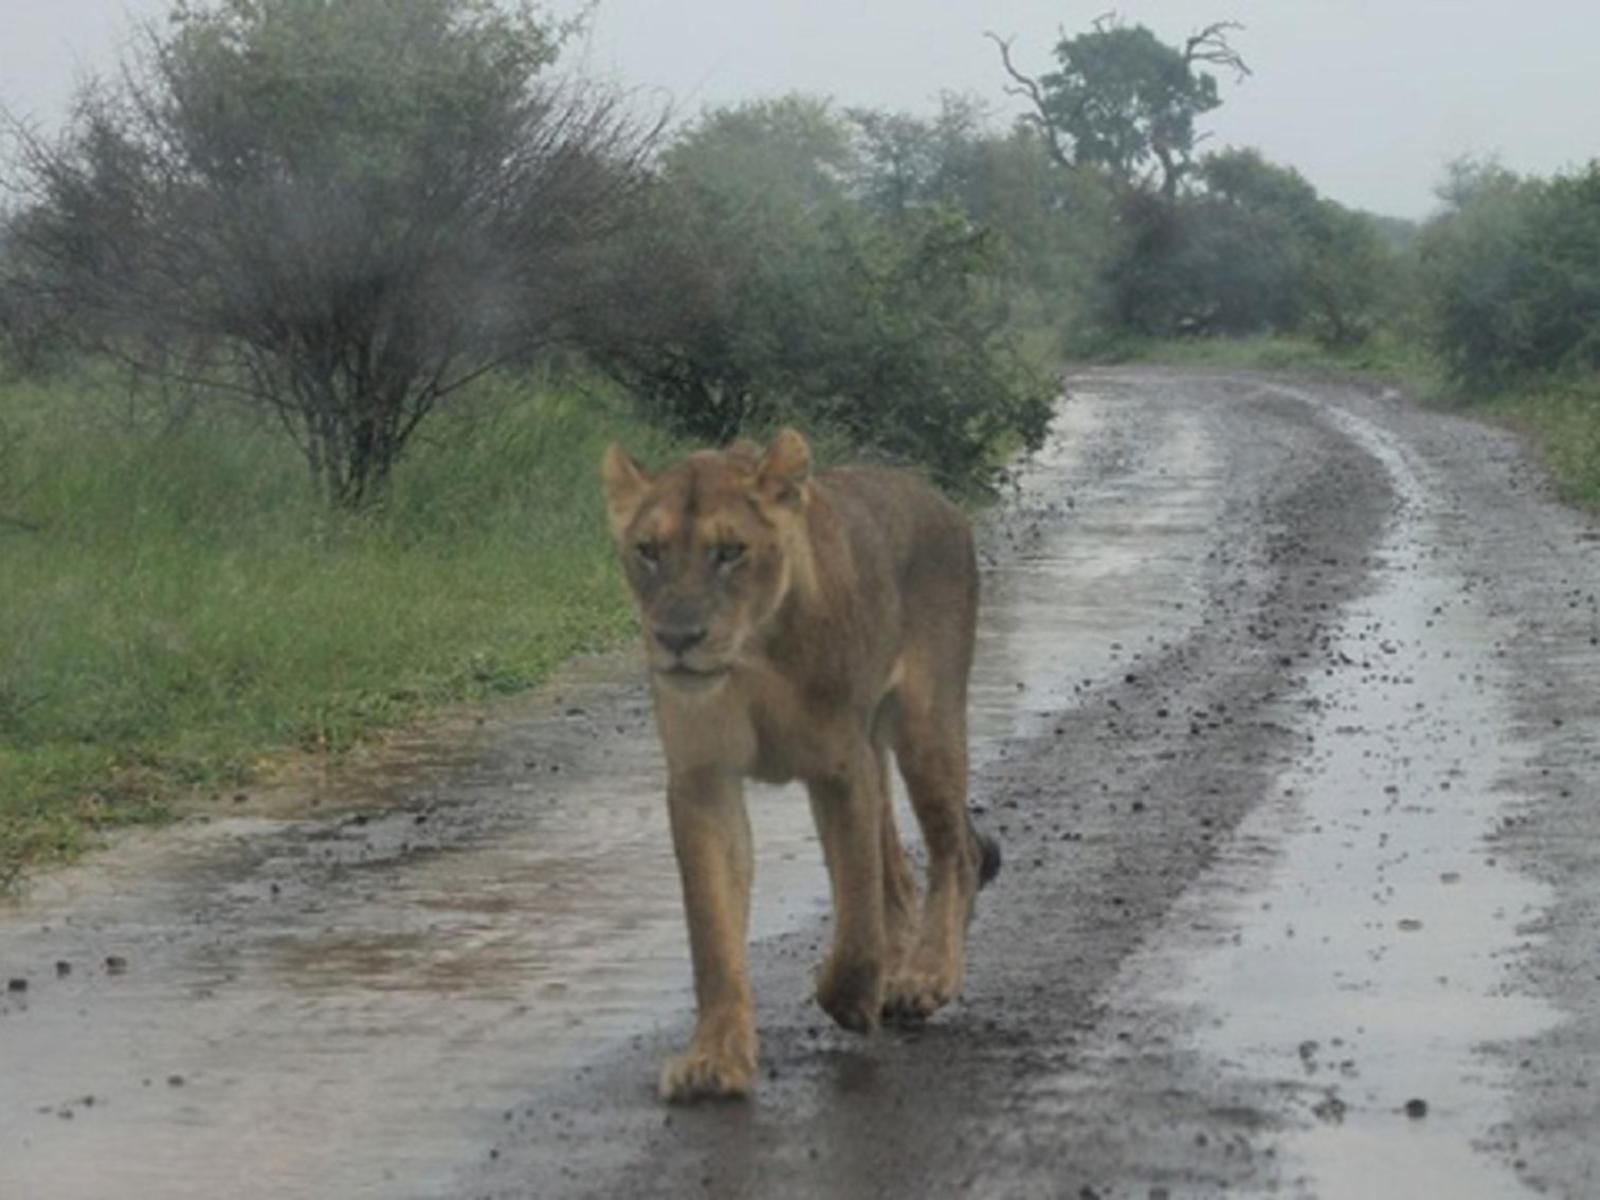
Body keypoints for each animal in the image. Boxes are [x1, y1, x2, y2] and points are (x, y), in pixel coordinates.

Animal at [601, 428, 998, 1107]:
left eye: (730, 552)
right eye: (648, 551)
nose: (677, 638)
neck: (752, 657)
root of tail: (936, 498)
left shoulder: (840, 768)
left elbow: (857, 916)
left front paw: (851, 998)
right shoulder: (703, 780)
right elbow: (713, 933)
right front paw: (716, 1058)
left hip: (925, 730)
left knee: (956, 853)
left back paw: (924, 977)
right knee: (899, 877)